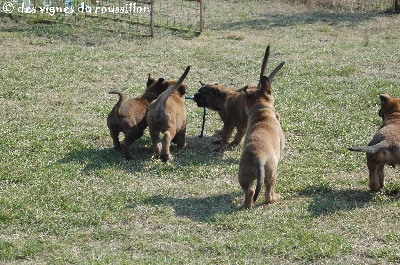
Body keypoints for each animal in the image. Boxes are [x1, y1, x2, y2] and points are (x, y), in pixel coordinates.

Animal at [238, 44, 284, 207]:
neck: (261, 109)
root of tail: (258, 157)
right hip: (272, 174)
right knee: (268, 194)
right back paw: (276, 198)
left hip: (243, 174)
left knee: (249, 191)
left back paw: (246, 206)